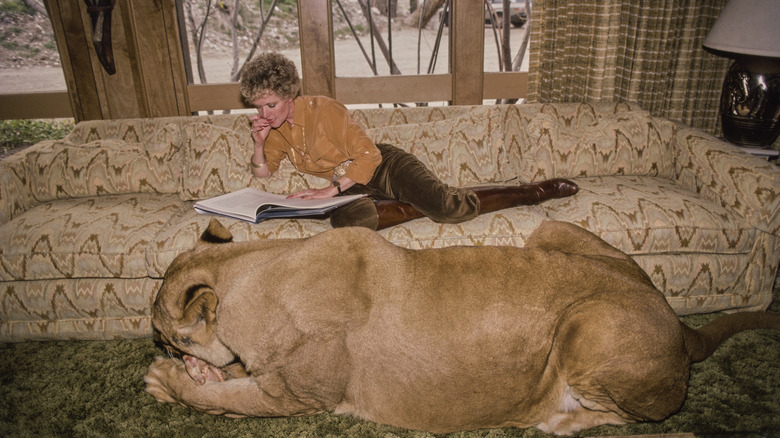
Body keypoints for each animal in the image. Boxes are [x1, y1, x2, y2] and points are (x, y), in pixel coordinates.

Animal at [145, 219, 780, 434]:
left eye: (165, 336)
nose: (167, 350)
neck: (256, 265)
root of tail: (675, 317)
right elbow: (224, 387)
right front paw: (198, 373)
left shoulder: (301, 396)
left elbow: (227, 402)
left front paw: (168, 382)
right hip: (551, 230)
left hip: (587, 324)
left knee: (646, 418)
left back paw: (560, 420)